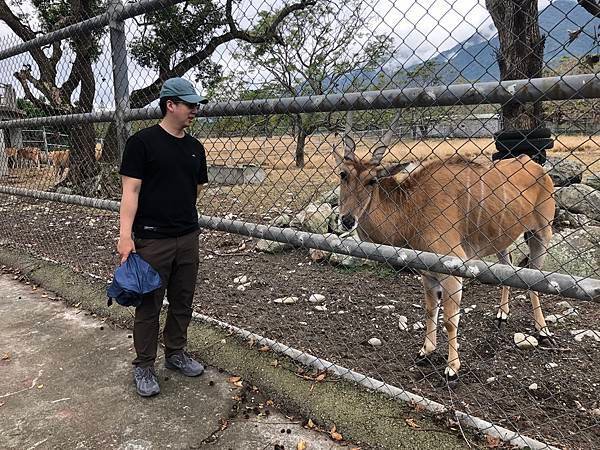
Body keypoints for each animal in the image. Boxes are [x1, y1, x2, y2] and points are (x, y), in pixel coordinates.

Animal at [332, 113, 552, 384]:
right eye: (343, 174)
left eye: (372, 180)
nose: (347, 220)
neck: (413, 208)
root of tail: (537, 167)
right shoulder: (427, 274)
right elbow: (429, 311)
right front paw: (425, 351)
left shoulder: (452, 271)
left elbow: (449, 320)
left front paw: (452, 368)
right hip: (500, 241)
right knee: (508, 266)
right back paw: (502, 314)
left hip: (541, 233)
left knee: (535, 278)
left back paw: (543, 330)